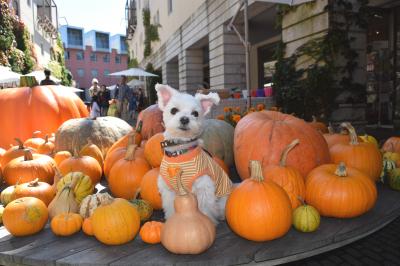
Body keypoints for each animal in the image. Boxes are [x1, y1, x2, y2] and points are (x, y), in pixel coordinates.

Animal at [155, 83, 233, 224]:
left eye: (195, 113)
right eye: (173, 110)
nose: (185, 119)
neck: (180, 152)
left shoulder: (203, 187)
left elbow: (204, 209)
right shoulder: (169, 191)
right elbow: (171, 208)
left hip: (223, 199)